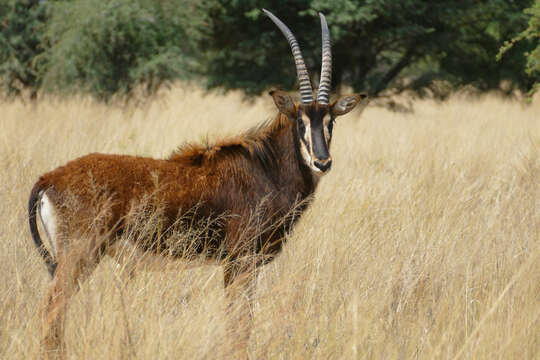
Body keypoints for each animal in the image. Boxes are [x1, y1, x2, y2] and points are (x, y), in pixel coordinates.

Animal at [27, 8, 370, 358]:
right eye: (300, 121)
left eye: (331, 121)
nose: (322, 162)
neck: (266, 168)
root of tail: (48, 179)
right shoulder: (240, 261)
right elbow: (239, 323)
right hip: (79, 256)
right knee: (51, 312)